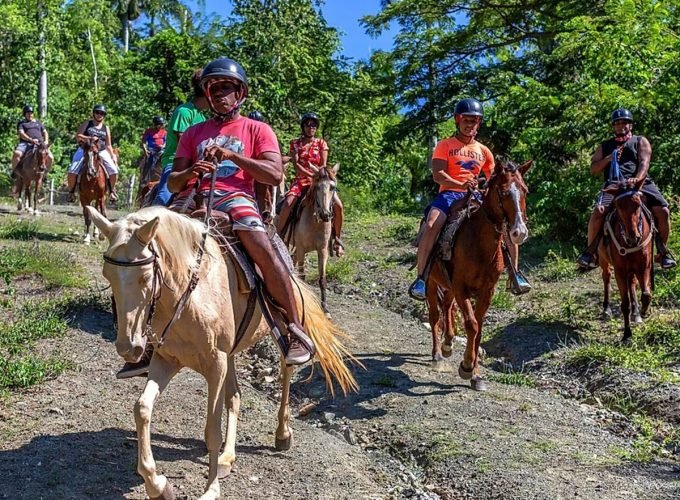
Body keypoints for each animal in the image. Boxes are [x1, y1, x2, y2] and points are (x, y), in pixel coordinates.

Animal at [85, 206, 356, 500]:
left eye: (145, 276)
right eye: (107, 275)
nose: (129, 348)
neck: (192, 294)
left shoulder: (215, 364)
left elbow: (212, 429)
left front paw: (211, 489)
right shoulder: (167, 360)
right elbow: (143, 408)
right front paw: (158, 485)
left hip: (281, 329)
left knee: (286, 371)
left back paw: (283, 433)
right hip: (230, 355)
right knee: (234, 397)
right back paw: (227, 457)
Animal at [288, 164, 338, 314]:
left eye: (333, 187)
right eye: (317, 187)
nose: (325, 214)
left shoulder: (322, 250)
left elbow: (322, 279)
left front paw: (325, 308)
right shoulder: (301, 248)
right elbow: (302, 276)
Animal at [424, 160, 532, 390]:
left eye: (525, 190)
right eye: (503, 192)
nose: (519, 232)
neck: (480, 245)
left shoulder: (486, 291)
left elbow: (479, 329)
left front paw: (476, 375)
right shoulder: (461, 287)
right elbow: (472, 324)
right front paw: (466, 366)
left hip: (448, 286)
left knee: (447, 306)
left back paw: (448, 343)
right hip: (431, 282)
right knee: (435, 314)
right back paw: (437, 355)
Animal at [596, 184, 652, 344]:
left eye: (638, 204)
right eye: (618, 206)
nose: (633, 237)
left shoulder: (643, 267)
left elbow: (646, 294)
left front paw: (643, 311)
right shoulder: (620, 271)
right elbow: (624, 304)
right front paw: (627, 334)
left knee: (632, 283)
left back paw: (636, 312)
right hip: (603, 260)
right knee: (606, 277)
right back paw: (606, 309)